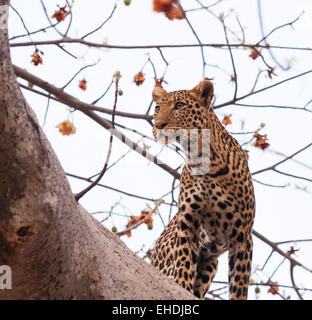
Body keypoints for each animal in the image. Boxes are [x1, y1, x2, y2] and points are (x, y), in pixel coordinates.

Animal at [150, 80, 255, 300]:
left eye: (179, 105)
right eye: (157, 108)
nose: (158, 126)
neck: (202, 158)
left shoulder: (243, 236)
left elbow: (240, 282)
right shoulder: (187, 222)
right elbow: (183, 259)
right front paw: (181, 285)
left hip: (211, 264)